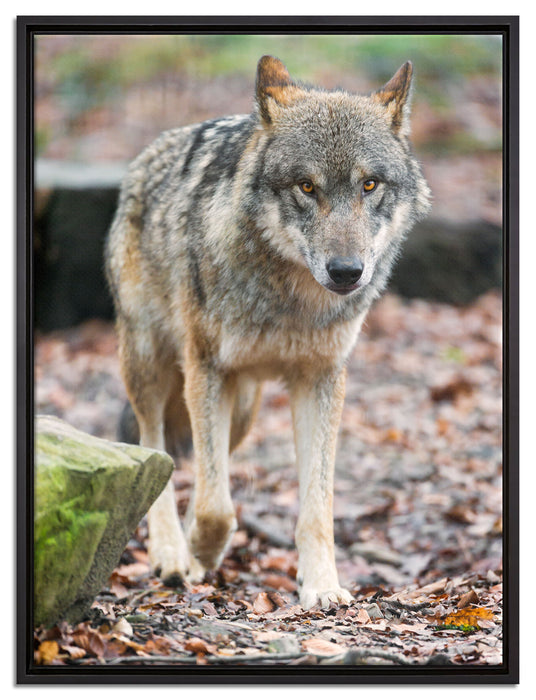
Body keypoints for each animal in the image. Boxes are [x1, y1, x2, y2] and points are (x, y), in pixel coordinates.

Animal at [105, 55, 431, 609]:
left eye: (369, 185)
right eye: (307, 186)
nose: (347, 272)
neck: (290, 302)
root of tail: (147, 156)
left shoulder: (320, 381)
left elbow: (316, 509)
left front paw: (322, 586)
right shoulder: (206, 368)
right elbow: (216, 509)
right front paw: (199, 552)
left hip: (241, 410)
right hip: (151, 367)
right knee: (156, 450)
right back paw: (171, 553)